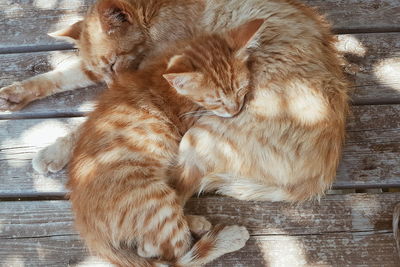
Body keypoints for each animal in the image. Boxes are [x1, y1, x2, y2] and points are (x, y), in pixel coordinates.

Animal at [2, 0, 346, 203]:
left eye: (114, 63)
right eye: (102, 69)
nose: (112, 85)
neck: (155, 17)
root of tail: (318, 180)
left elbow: (87, 123)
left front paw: (53, 151)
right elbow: (60, 74)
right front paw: (16, 92)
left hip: (201, 135)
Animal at [68, 19, 262, 266]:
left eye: (240, 89)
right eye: (216, 100)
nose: (235, 109)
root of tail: (88, 227)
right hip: (154, 200)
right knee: (161, 252)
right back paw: (227, 237)